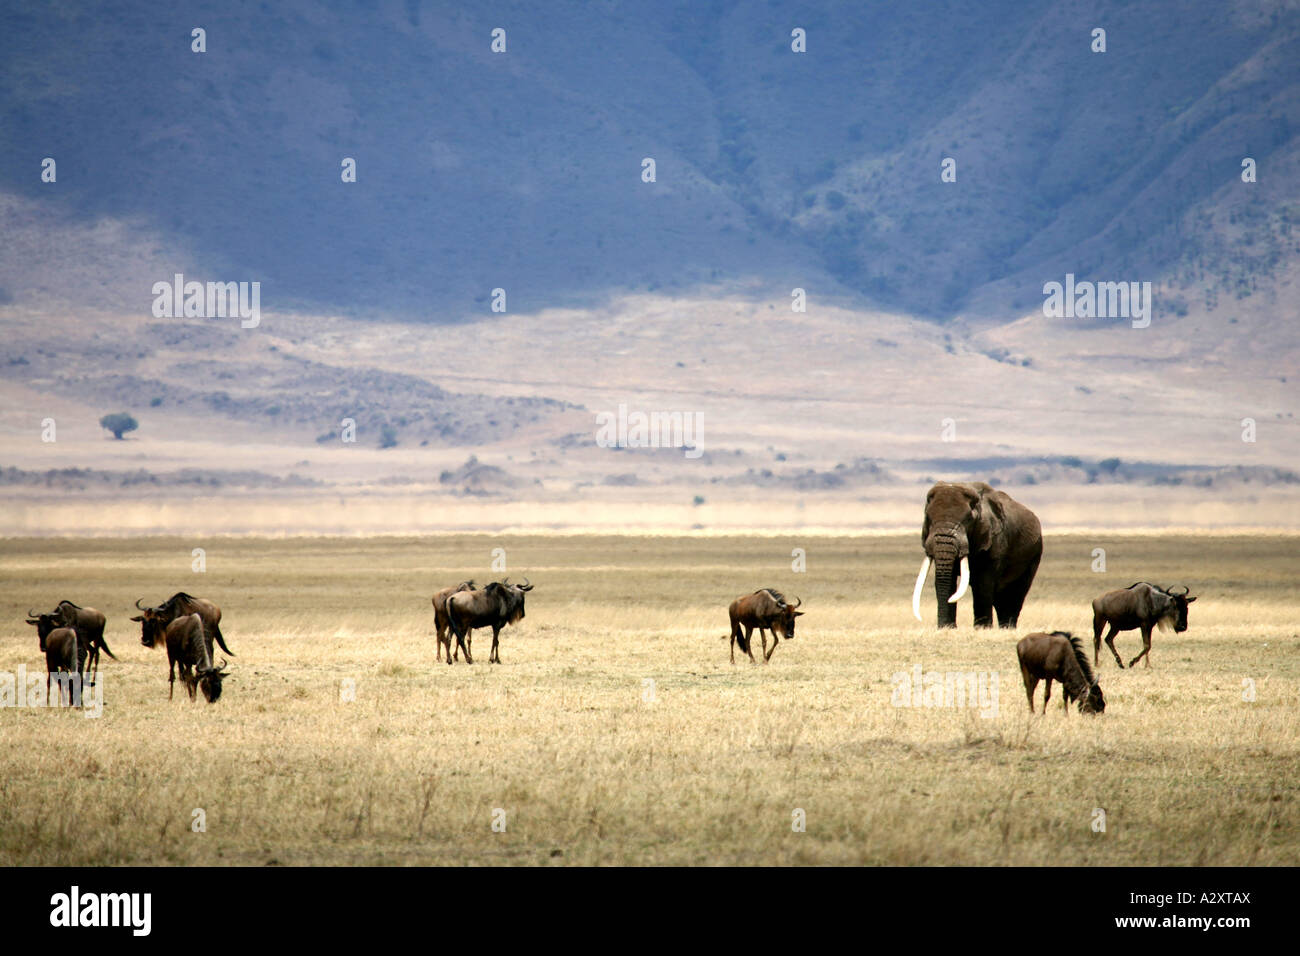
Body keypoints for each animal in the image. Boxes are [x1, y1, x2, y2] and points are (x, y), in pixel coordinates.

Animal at [915, 481, 1045, 632]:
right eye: (928, 518)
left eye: (968, 520)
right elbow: (947, 579)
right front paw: (947, 628)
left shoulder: (994, 541)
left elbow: (983, 583)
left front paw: (982, 629)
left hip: (1035, 553)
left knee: (1016, 593)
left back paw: (1008, 628)